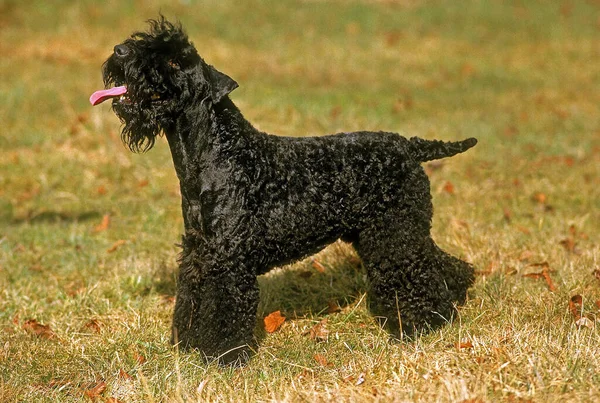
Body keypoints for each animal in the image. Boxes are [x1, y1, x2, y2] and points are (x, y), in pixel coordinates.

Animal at [91, 18, 478, 366]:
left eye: (173, 62)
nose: (121, 51)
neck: (219, 151)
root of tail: (411, 147)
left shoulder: (226, 260)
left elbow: (224, 310)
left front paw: (221, 357)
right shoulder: (197, 251)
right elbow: (190, 299)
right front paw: (187, 345)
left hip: (395, 234)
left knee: (420, 271)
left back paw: (425, 324)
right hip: (384, 233)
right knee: (442, 262)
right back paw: (454, 297)